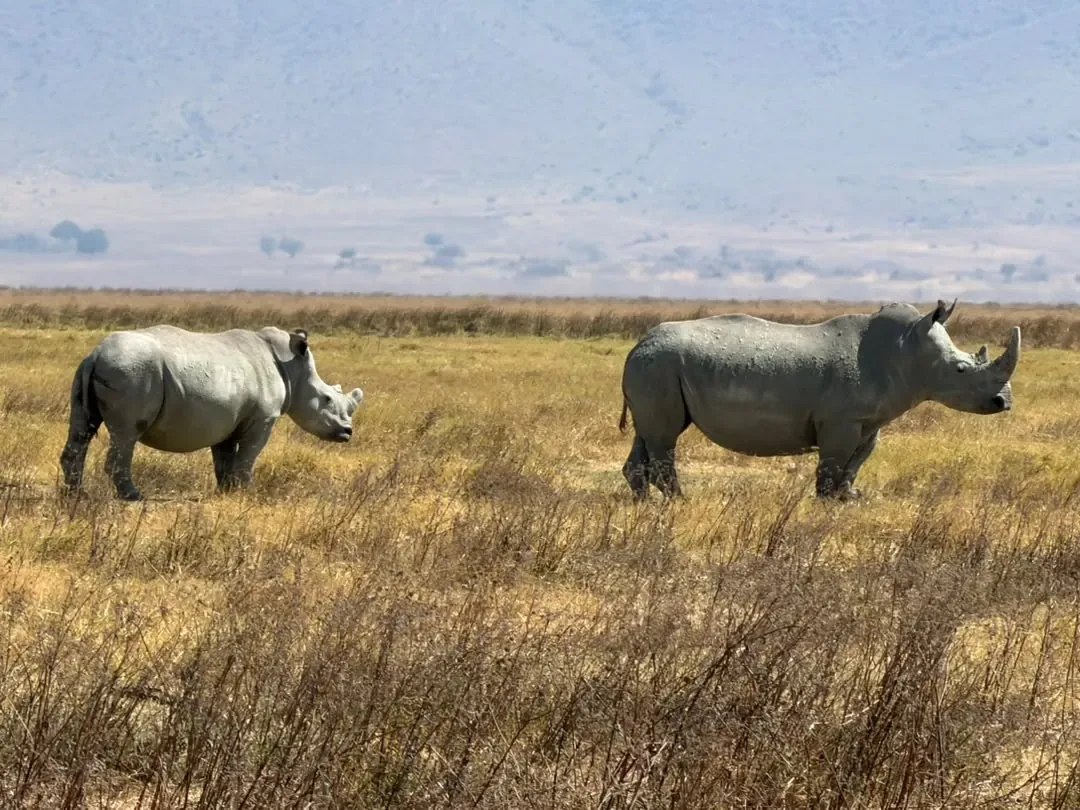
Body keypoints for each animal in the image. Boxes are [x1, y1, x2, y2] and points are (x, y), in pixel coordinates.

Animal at [59, 325, 364, 501]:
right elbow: (248, 456)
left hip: (97, 370)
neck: (294, 371)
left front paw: (225, 492)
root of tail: (96, 354)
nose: (347, 433)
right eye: (326, 399)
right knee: (127, 434)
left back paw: (77, 496)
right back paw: (134, 497)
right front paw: (246, 494)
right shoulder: (264, 418)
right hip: (132, 371)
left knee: (81, 430)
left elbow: (224, 459)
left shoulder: (228, 417)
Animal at [618, 300, 1020, 500]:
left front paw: (851, 498)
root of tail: (638, 343)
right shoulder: (841, 419)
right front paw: (825, 503)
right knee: (665, 437)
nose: (1004, 403)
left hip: (656, 367)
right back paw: (679, 502)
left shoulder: (868, 420)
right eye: (961, 370)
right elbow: (833, 463)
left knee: (648, 435)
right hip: (660, 365)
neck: (907, 349)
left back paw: (644, 505)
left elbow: (856, 462)